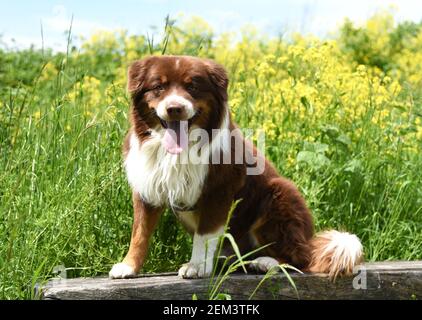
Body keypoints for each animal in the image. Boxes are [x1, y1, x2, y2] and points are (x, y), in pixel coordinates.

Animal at [109, 55, 362, 280]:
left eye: (192, 86)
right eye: (158, 86)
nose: (174, 108)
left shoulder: (219, 188)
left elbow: (204, 233)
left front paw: (197, 266)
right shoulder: (147, 185)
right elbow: (140, 232)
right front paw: (128, 266)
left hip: (279, 193)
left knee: (300, 258)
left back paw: (265, 262)